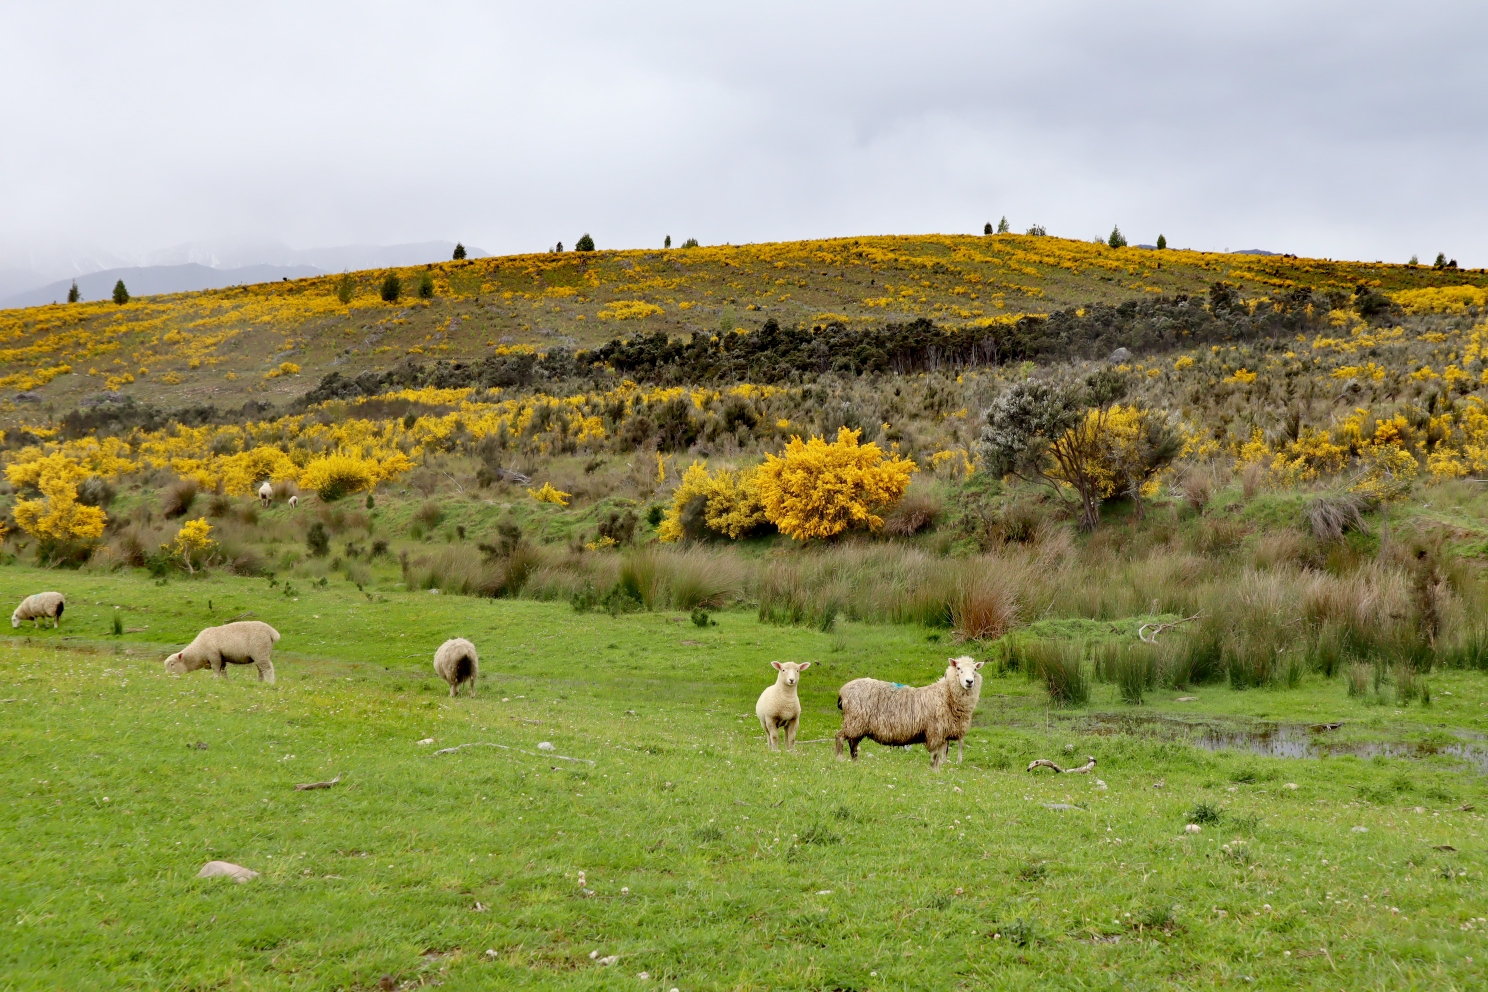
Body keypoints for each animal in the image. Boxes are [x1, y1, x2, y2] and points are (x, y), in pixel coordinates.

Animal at [839, 654, 988, 773]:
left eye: (975, 670)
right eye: (958, 668)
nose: (969, 682)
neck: (946, 695)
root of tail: (842, 691)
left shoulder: (944, 734)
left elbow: (941, 756)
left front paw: (938, 771)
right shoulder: (935, 732)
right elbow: (935, 756)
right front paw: (934, 772)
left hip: (856, 724)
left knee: (852, 745)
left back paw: (855, 763)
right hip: (854, 721)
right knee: (840, 737)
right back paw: (839, 759)